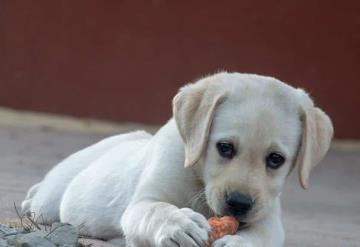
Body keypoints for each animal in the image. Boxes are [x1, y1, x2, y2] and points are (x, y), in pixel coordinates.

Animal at [21, 72, 334, 247]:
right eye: (224, 148)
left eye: (275, 159)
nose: (239, 203)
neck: (199, 179)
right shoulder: (142, 203)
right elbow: (157, 209)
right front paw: (179, 224)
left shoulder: (268, 218)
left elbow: (262, 236)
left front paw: (238, 242)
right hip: (51, 200)